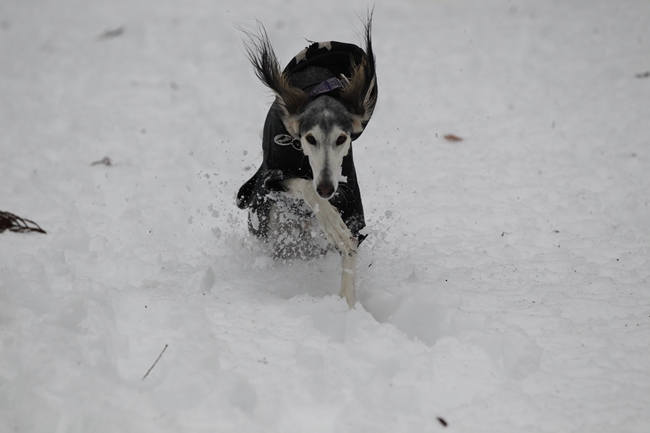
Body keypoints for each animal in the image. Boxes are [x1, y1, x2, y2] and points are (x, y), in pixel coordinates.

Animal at [235, 16, 378, 308]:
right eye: (309, 138)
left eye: (341, 138)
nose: (326, 188)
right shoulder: (272, 179)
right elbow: (304, 185)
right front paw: (330, 220)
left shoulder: (350, 198)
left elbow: (349, 246)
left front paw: (347, 303)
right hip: (267, 222)